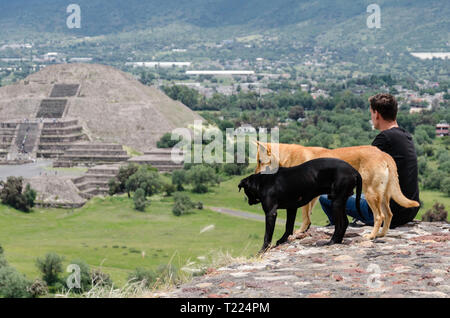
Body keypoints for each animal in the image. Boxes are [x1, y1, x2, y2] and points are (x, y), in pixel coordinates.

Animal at [255, 142, 420, 238]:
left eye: (259, 161)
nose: (255, 174)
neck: (288, 156)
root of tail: (383, 154)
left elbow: (304, 215)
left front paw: (300, 231)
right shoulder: (313, 196)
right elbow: (308, 215)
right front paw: (306, 229)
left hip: (370, 193)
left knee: (380, 216)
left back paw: (371, 236)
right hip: (383, 195)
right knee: (389, 214)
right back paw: (381, 234)